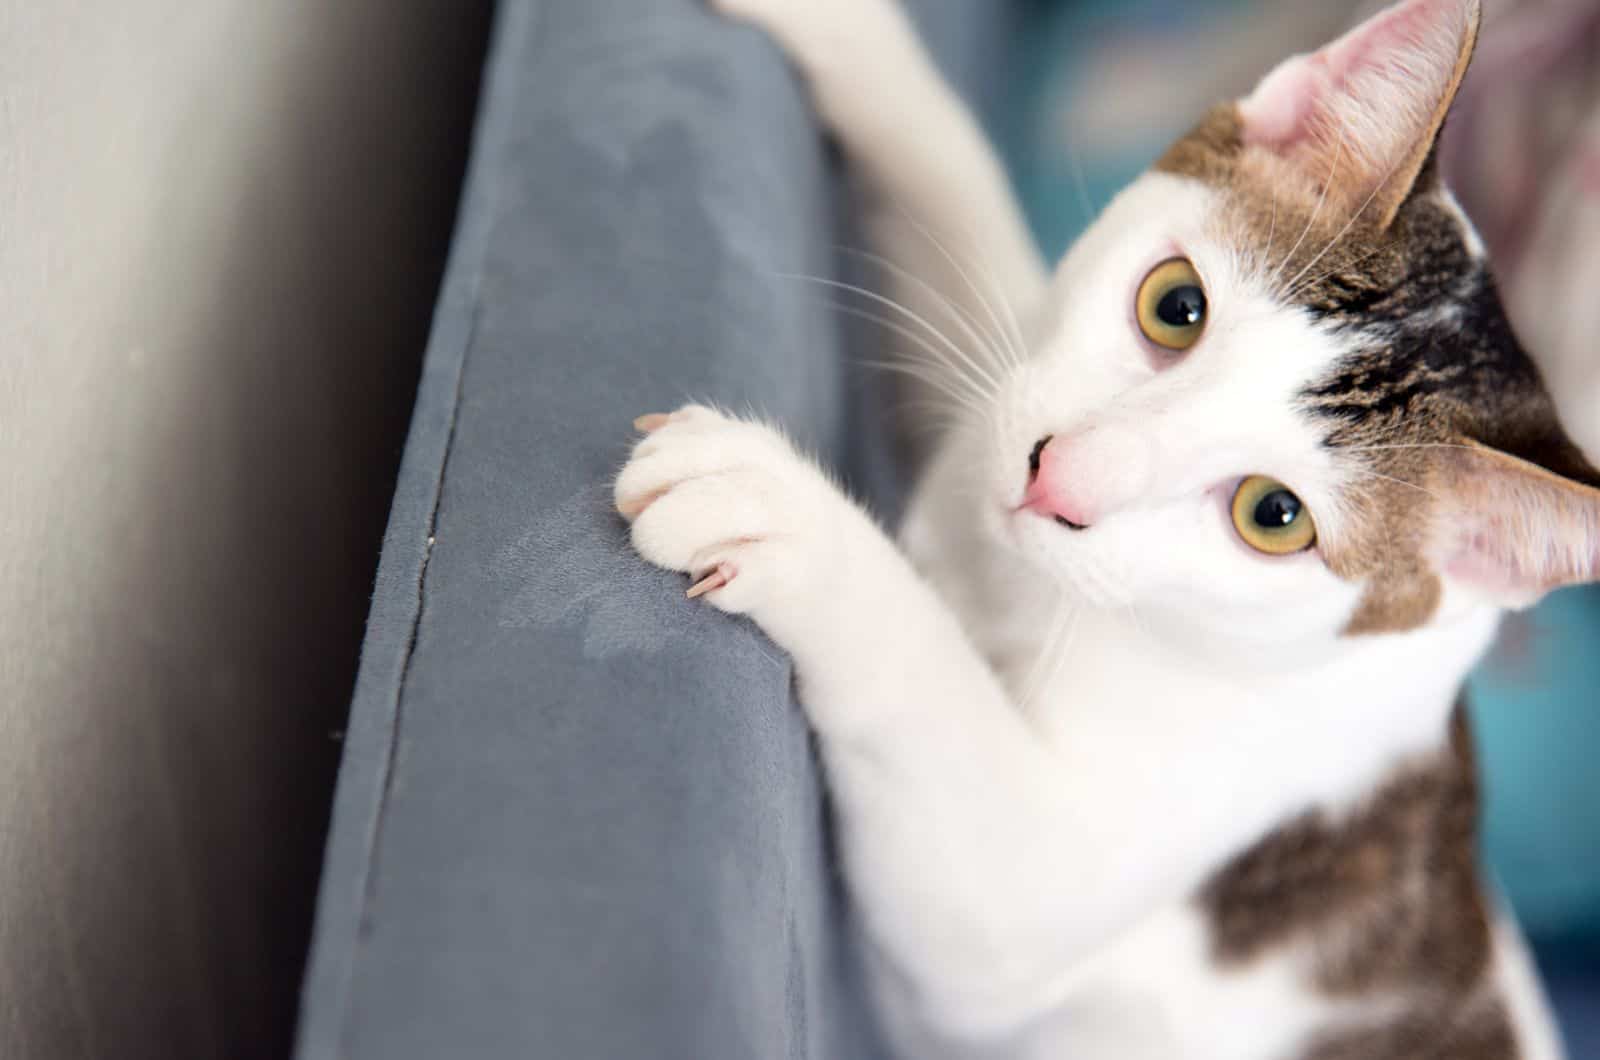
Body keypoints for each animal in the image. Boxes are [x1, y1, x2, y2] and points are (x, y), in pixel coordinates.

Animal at [608, 0, 1587, 1056]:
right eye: (1176, 305)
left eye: (1274, 515)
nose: (1057, 478)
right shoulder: (994, 397)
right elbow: (970, 221)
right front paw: (857, 42)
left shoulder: (1043, 889)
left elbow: (944, 753)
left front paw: (783, 515)